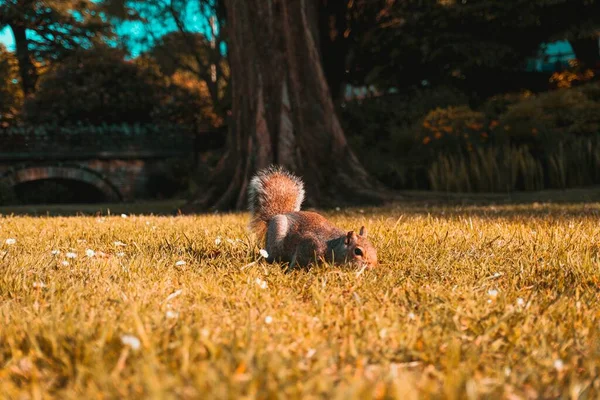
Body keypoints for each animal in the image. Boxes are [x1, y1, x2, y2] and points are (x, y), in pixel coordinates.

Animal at [246, 166, 378, 268]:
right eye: (357, 251)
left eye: (374, 249)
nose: (372, 265)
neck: (334, 246)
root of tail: (280, 215)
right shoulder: (309, 243)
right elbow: (298, 259)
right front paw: (292, 271)